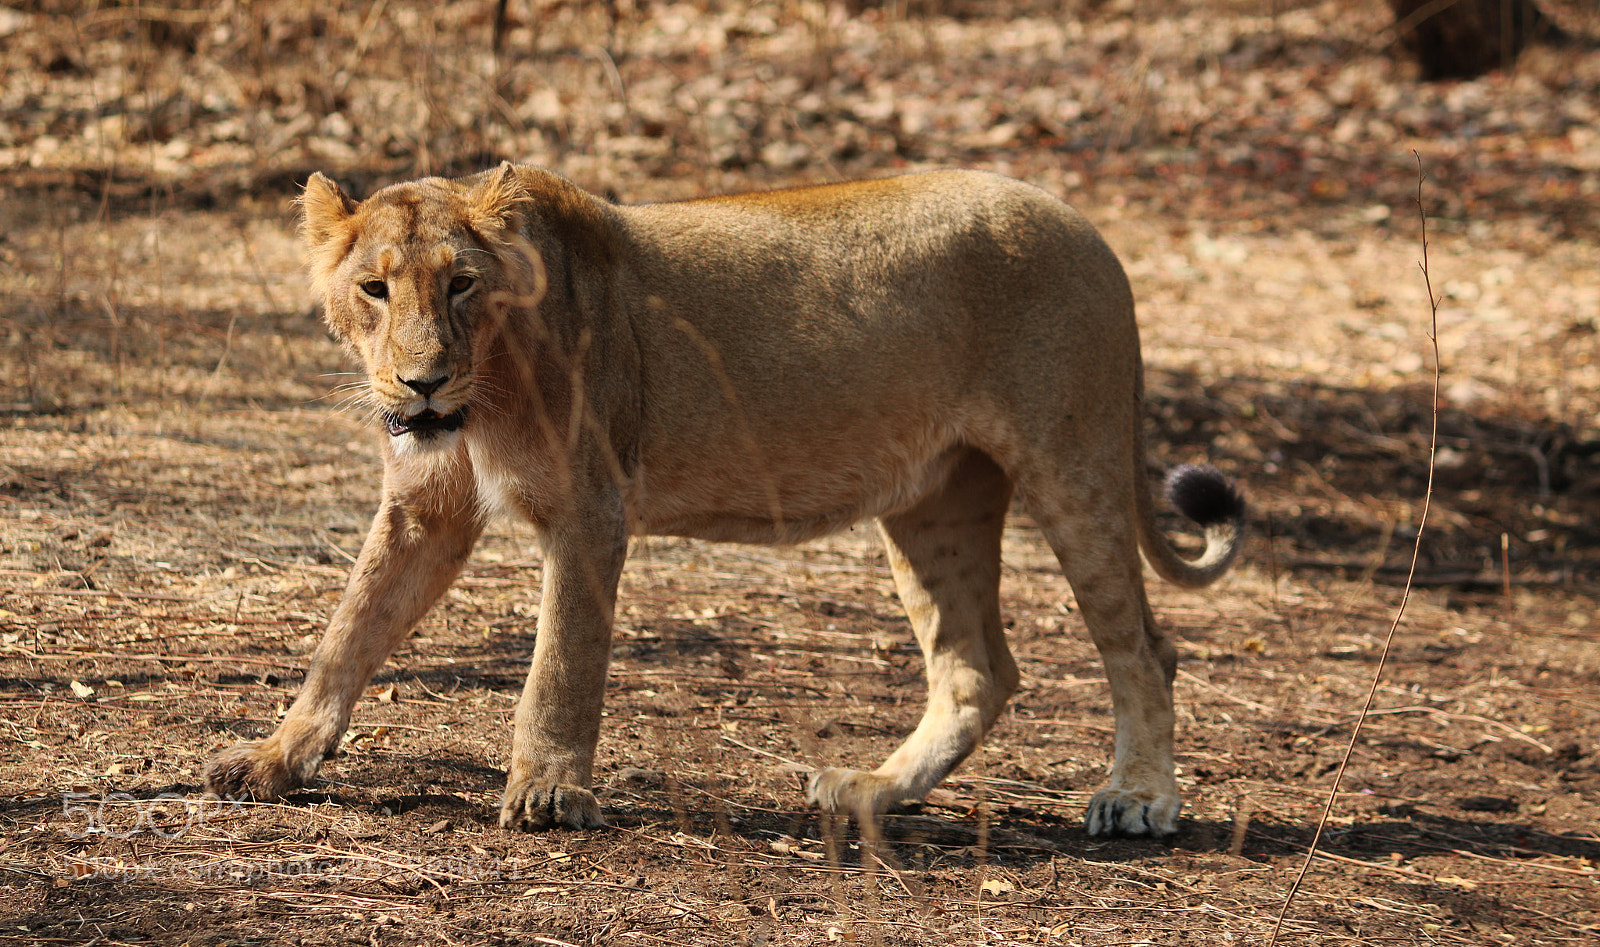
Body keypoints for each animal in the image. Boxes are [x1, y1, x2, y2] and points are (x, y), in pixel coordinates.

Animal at [204, 163, 1246, 837]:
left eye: (460, 283)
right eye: (374, 289)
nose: (420, 384)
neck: (485, 391)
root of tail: (1084, 223)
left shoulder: (591, 508)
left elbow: (560, 661)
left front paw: (547, 793)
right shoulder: (428, 508)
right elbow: (348, 631)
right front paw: (273, 757)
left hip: (1074, 463)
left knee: (1142, 645)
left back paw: (1140, 797)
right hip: (933, 500)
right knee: (977, 667)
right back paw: (872, 790)